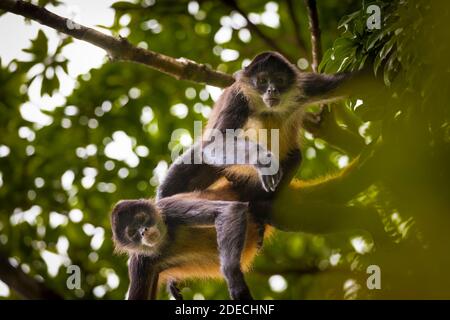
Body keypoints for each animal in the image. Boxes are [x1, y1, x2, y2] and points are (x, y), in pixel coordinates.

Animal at [110, 52, 350, 300]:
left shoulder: (304, 85)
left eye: (279, 80)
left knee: (294, 159)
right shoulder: (238, 98)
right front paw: (263, 160)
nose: (272, 90)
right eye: (262, 81)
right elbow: (215, 143)